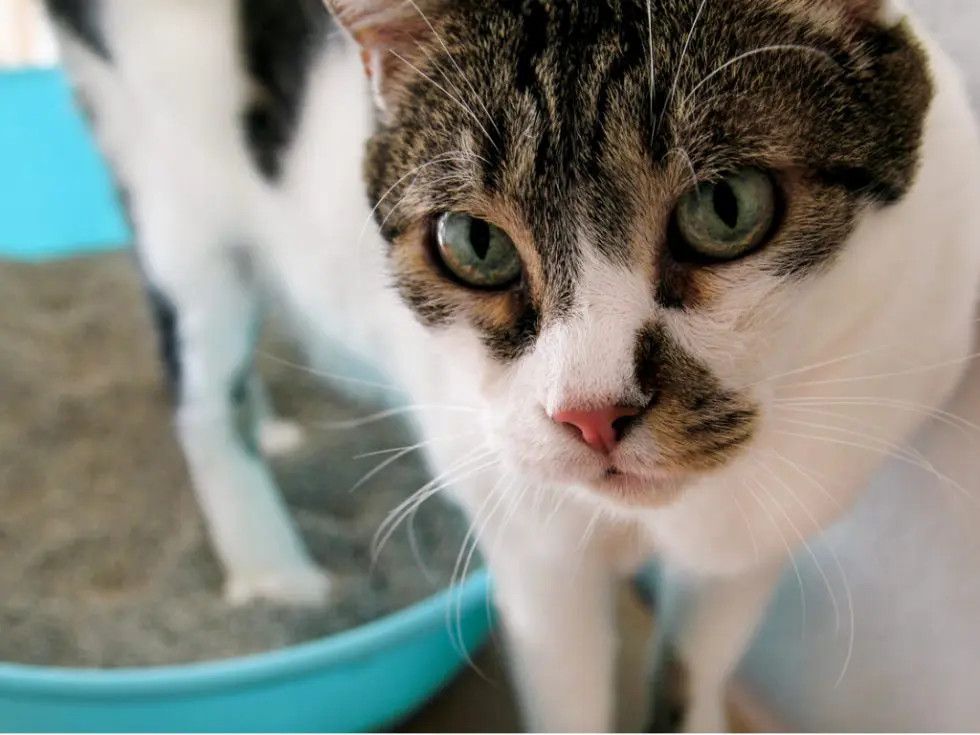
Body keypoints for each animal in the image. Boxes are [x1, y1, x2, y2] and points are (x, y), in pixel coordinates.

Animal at [42, 1, 980, 732]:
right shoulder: (538, 556)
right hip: (173, 196)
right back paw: (273, 573)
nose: (591, 411)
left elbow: (689, 673)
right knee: (202, 396)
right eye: (475, 243)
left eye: (726, 207)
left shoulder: (747, 547)